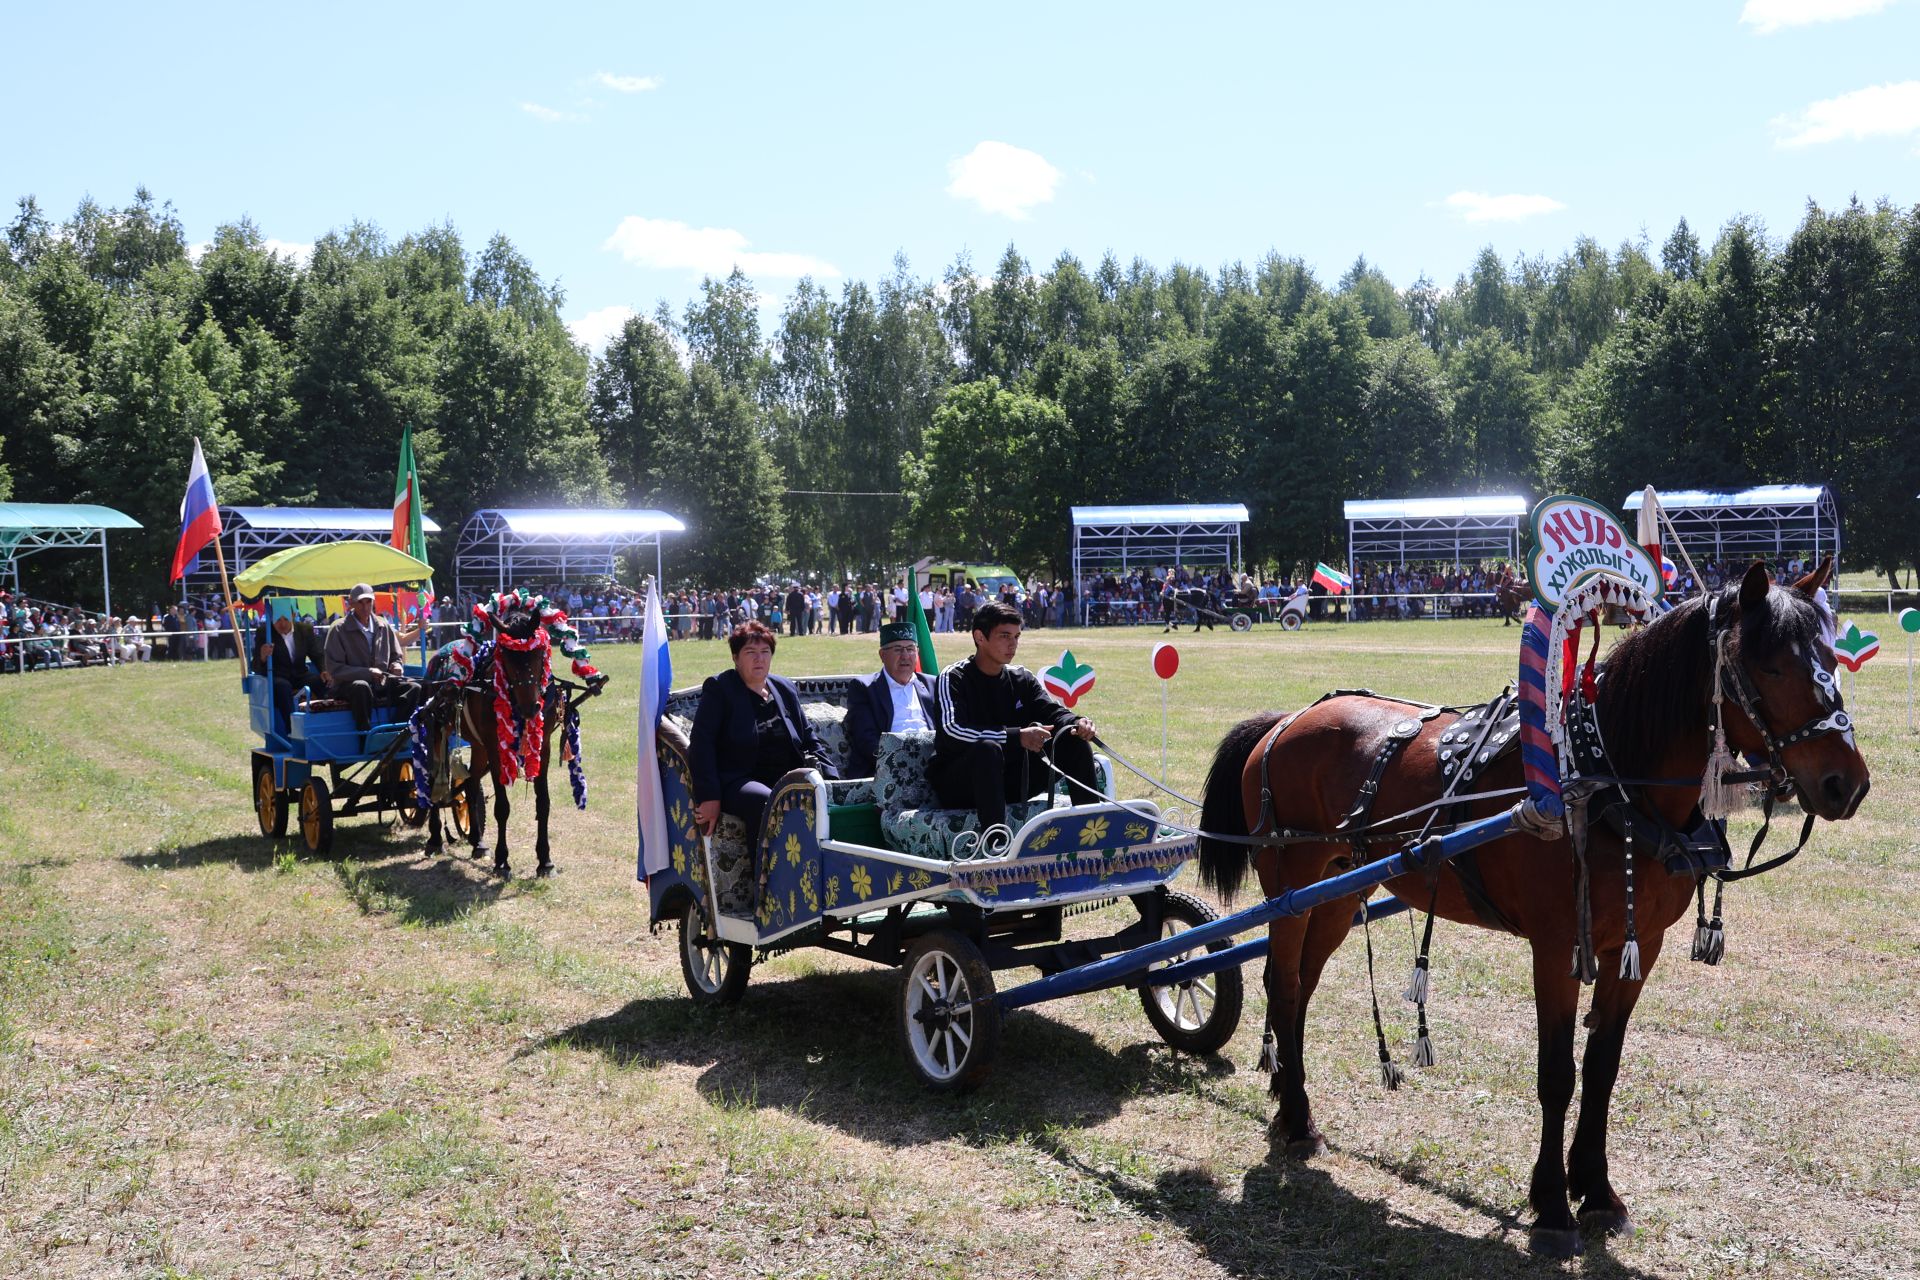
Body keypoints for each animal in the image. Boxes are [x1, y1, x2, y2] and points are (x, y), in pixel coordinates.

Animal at [1190, 564, 1866, 1258]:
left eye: (1831, 660)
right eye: (1772, 668)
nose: (1847, 785)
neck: (1604, 783)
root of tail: (1288, 719)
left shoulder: (1636, 947)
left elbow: (1602, 1068)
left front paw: (1597, 1191)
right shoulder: (1556, 945)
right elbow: (1557, 1074)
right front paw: (1553, 1207)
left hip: (1338, 890)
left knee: (1299, 987)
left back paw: (1288, 1097)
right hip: (1291, 886)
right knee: (1281, 982)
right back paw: (1296, 1119)